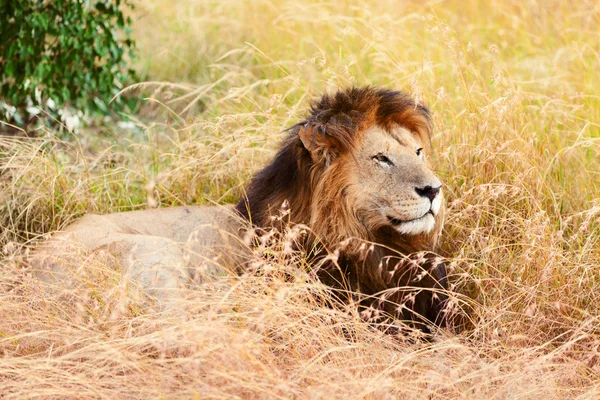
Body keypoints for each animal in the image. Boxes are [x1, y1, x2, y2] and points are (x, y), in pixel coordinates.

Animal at [30, 87, 448, 334]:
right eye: (381, 159)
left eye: (418, 152)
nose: (433, 189)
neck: (372, 239)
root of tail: (25, 275)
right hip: (153, 252)